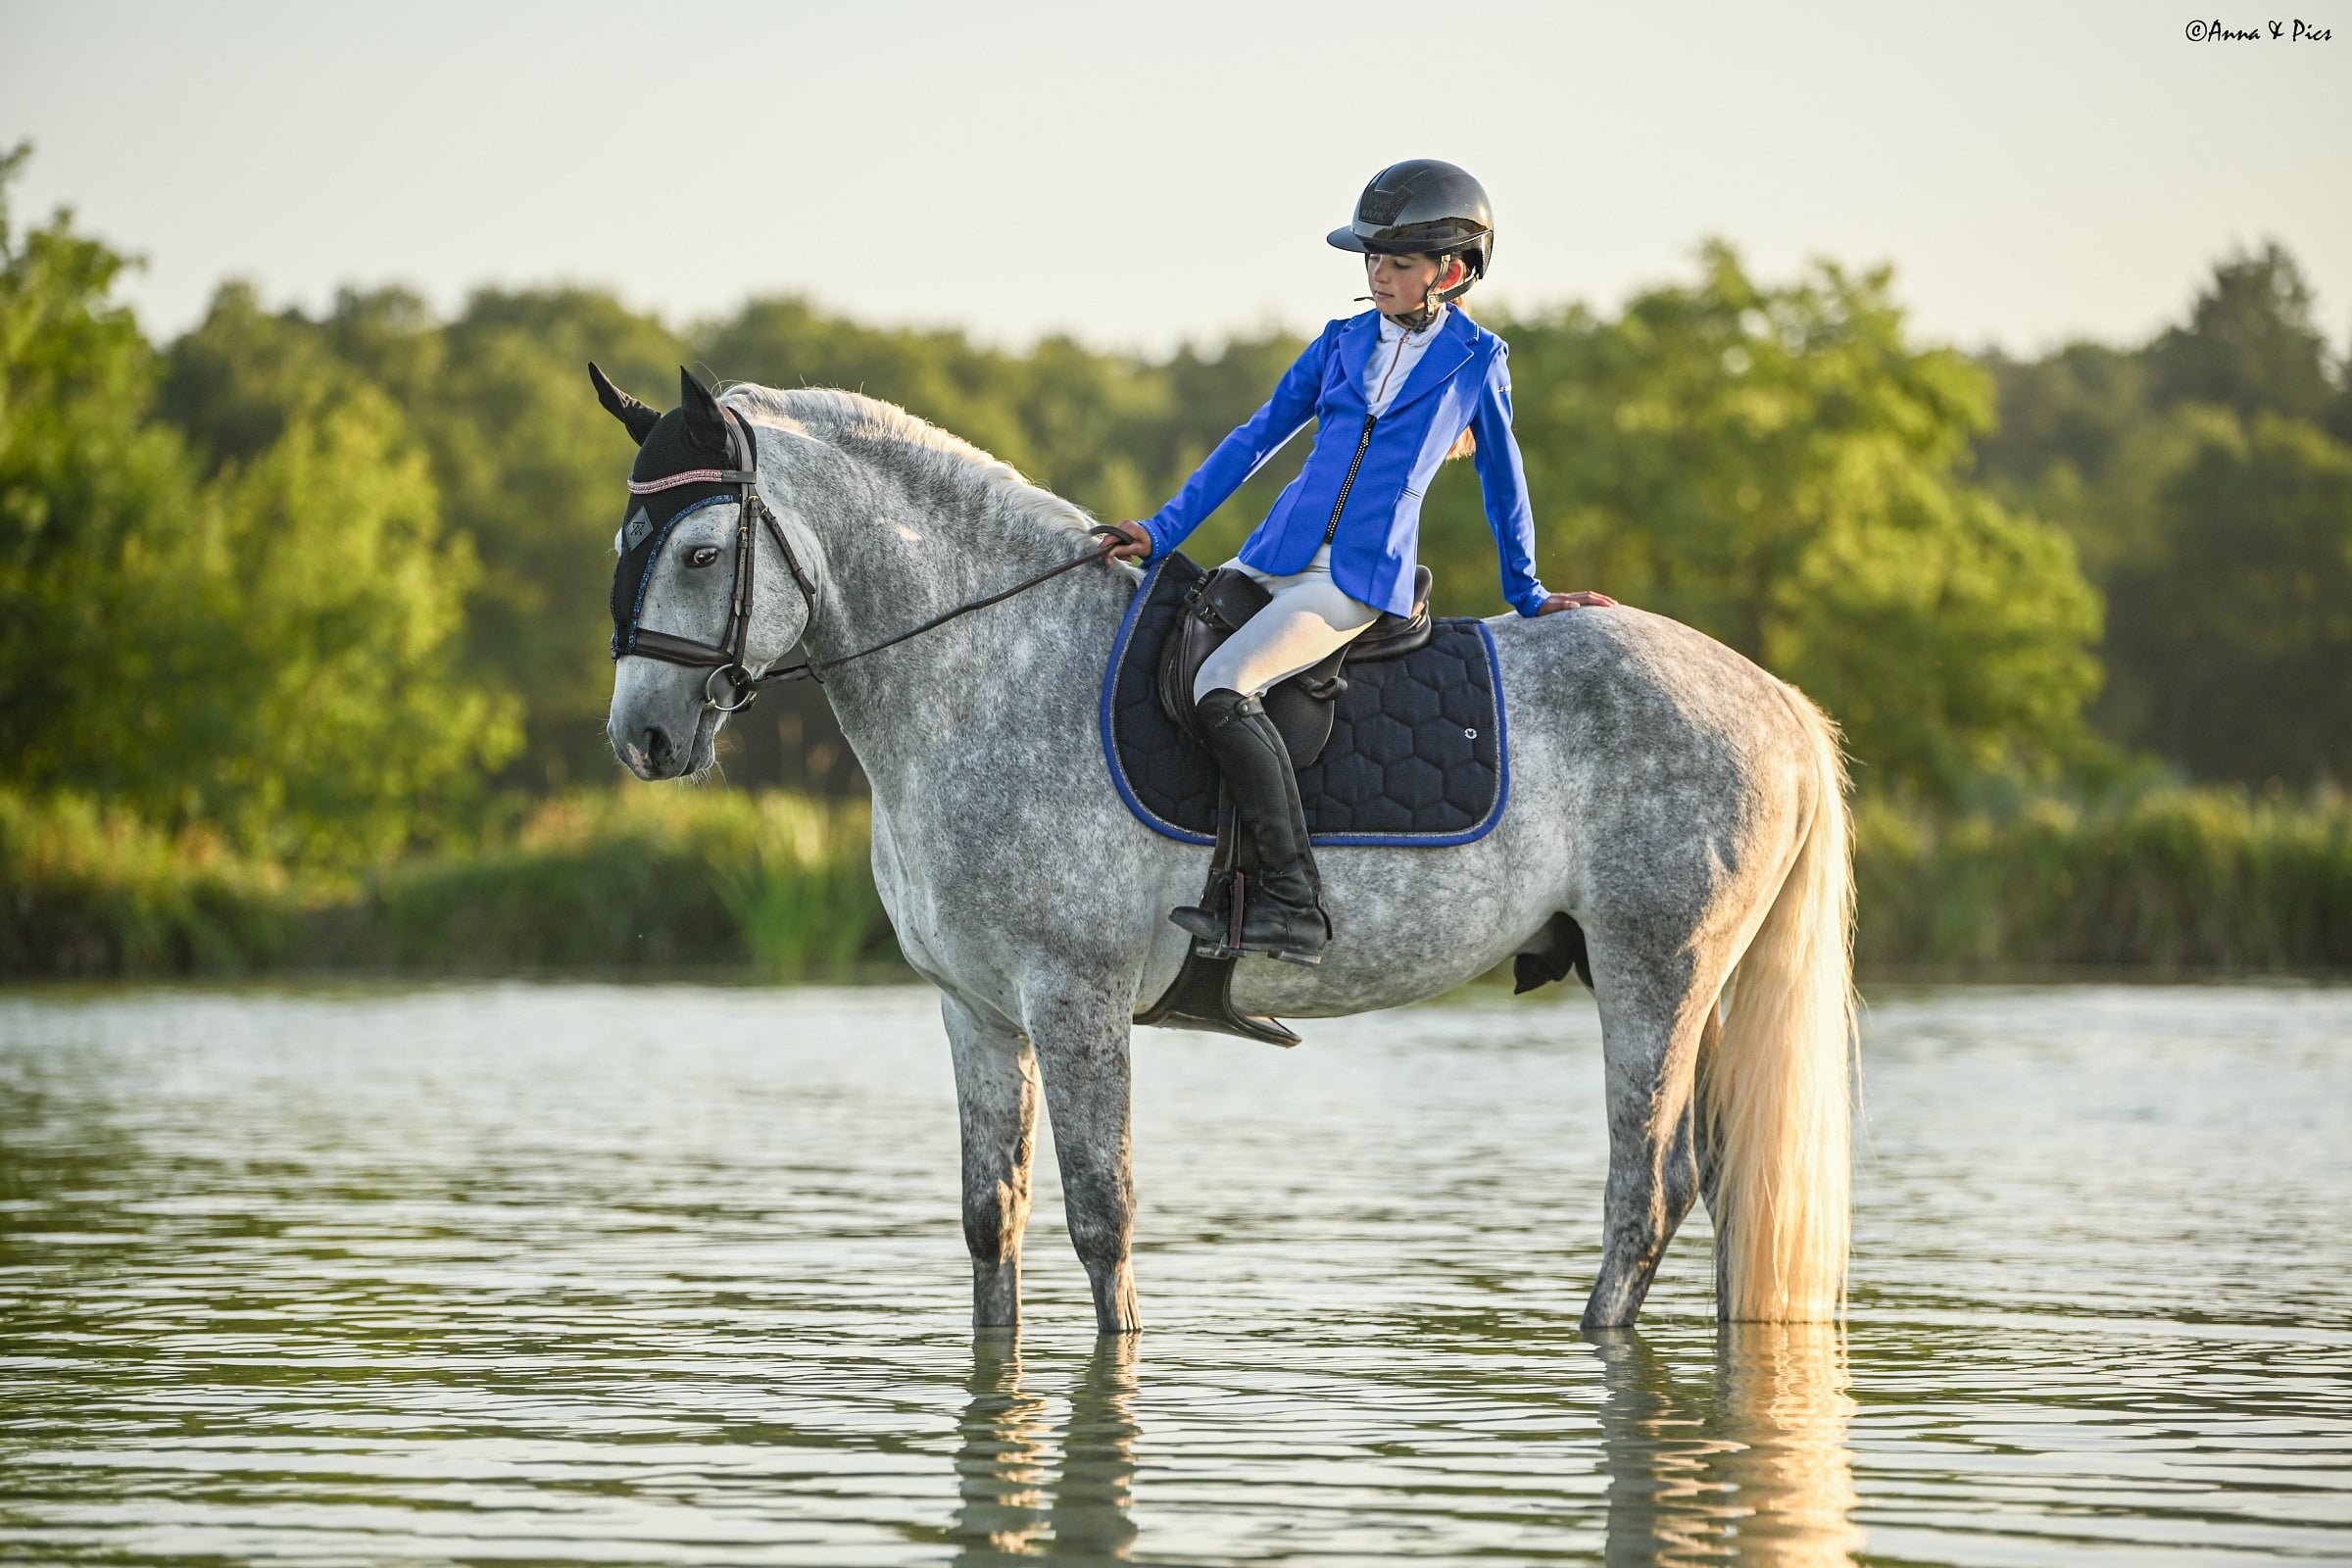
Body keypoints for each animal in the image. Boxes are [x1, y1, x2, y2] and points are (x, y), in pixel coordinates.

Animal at [598, 370, 1857, 1333]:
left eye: (700, 553)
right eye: (628, 541)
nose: (642, 738)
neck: (990, 666)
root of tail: (1774, 701)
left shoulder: (1076, 999)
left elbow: (1101, 1218)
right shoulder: (975, 1007)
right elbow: (990, 1221)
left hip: (1658, 971)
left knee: (1645, 1191)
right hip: (1677, 980)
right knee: (1710, 1183)